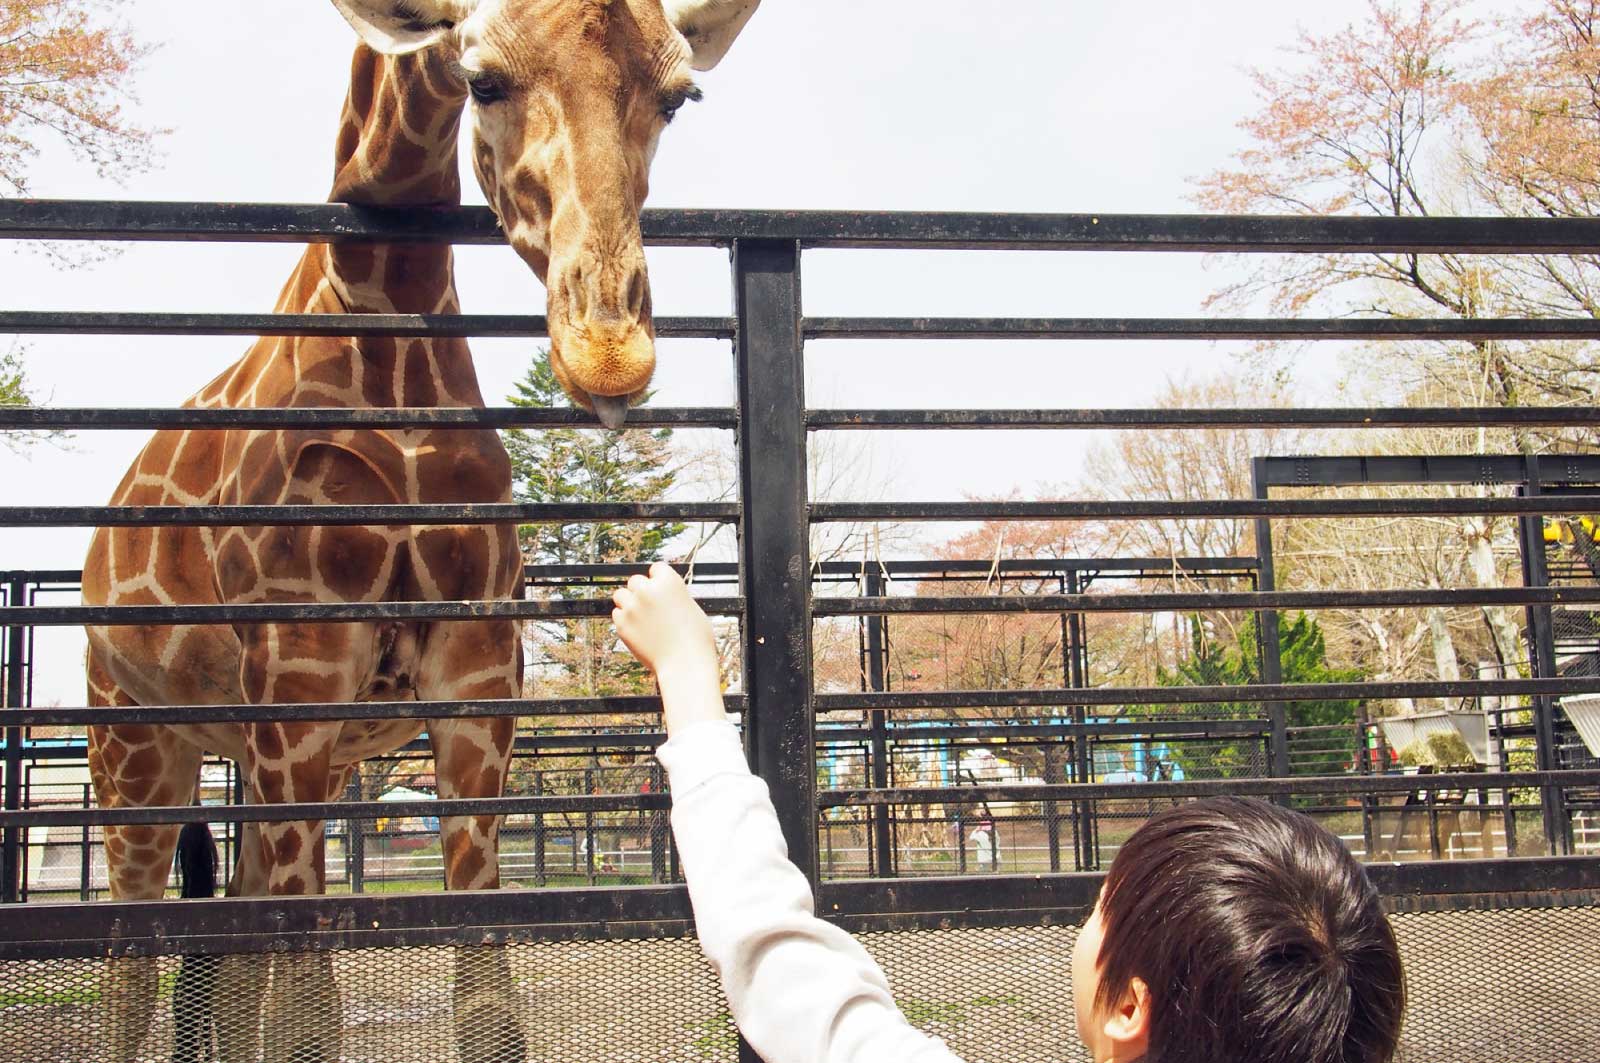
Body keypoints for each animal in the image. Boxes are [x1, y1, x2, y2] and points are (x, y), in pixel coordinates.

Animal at [78, 4, 764, 1056]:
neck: (385, 317)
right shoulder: (300, 660)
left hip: (254, 755)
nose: (609, 355)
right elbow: (307, 1008)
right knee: (132, 961)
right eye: (482, 80)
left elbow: (484, 992)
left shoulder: (473, 671)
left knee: (229, 951)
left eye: (678, 97)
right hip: (134, 739)